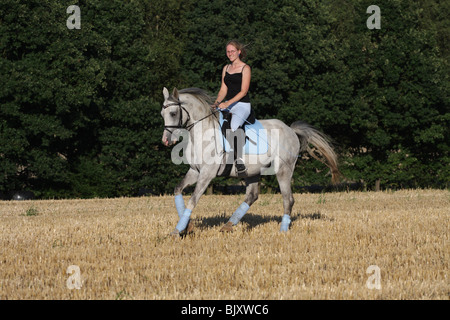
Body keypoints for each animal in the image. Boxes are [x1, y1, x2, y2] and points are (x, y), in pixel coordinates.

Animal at [160, 87, 340, 235]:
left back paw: (282, 230)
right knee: (252, 196)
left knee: (288, 199)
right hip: (252, 171)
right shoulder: (195, 171)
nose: (166, 140)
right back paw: (228, 225)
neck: (201, 133)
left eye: (173, 113)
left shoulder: (207, 174)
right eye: (162, 114)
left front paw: (178, 230)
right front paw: (186, 226)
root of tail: (291, 130)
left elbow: (193, 199)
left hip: (283, 170)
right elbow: (178, 190)